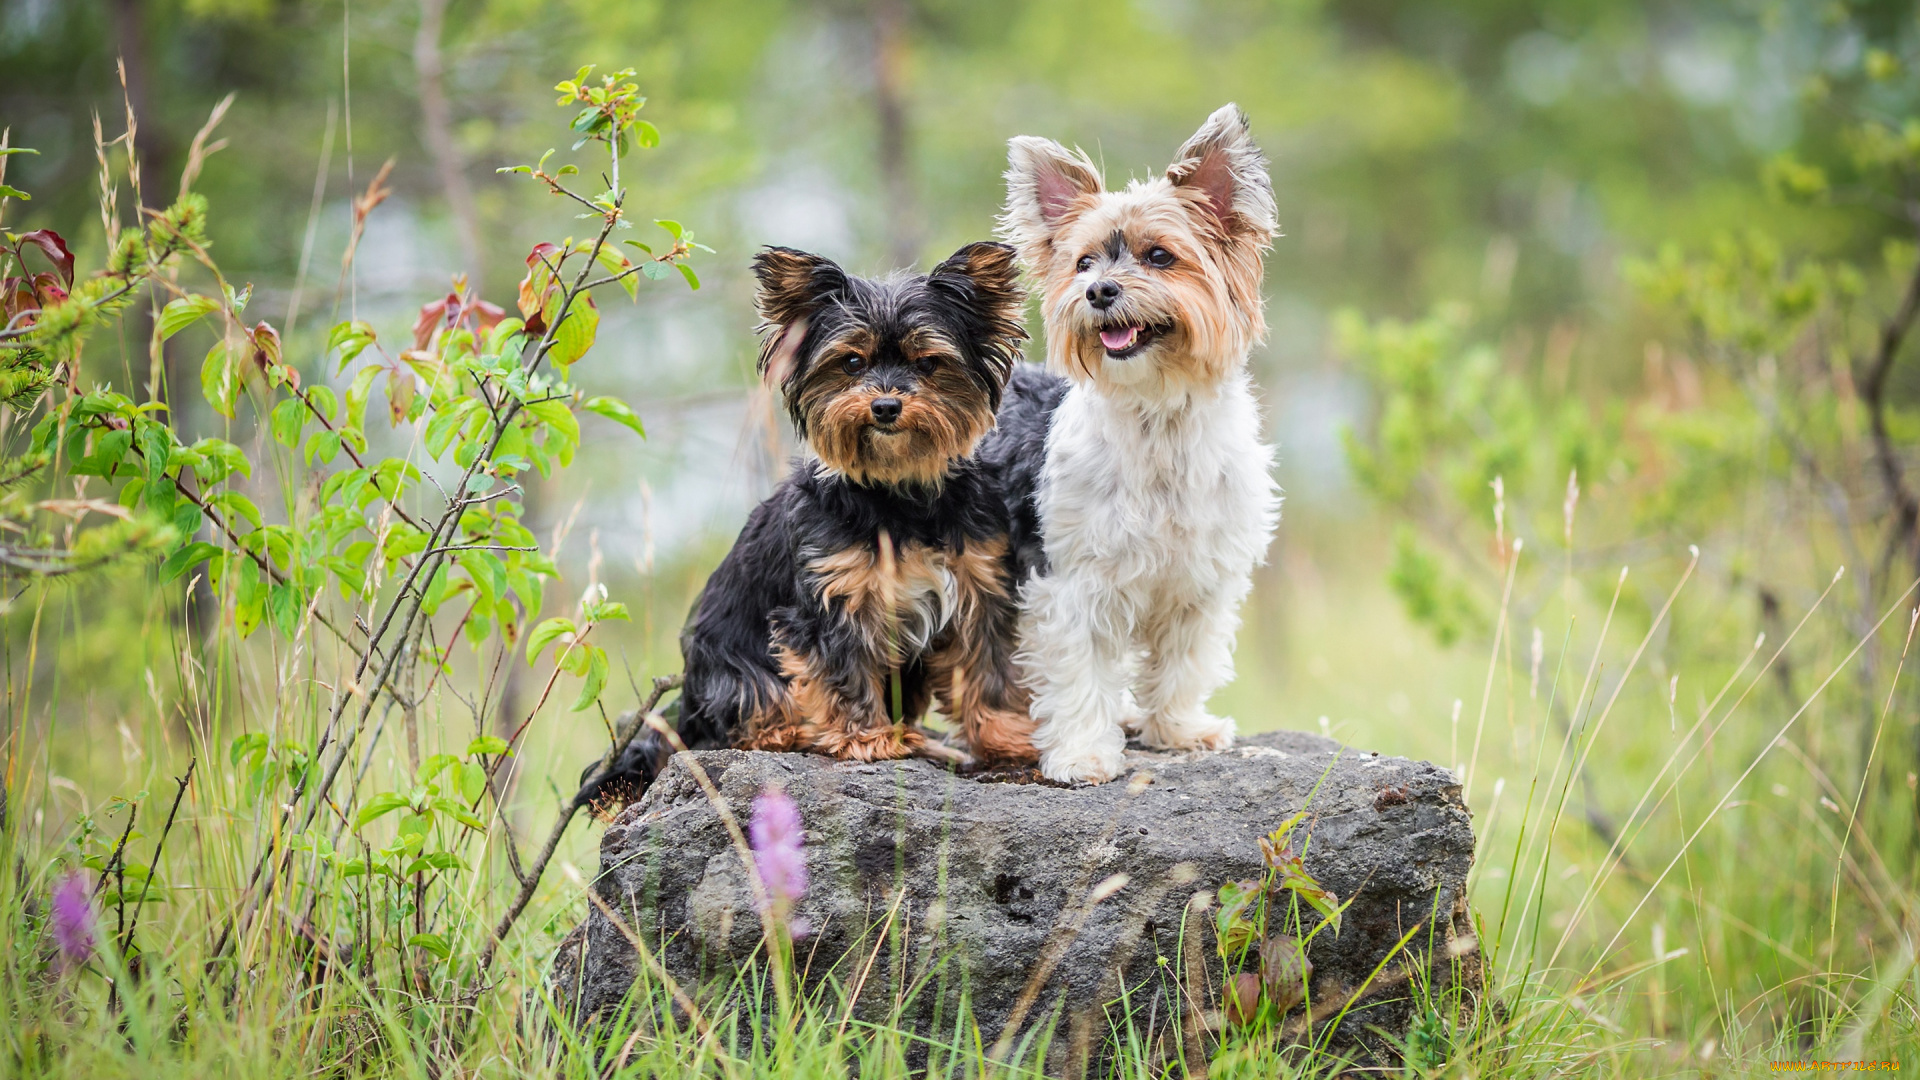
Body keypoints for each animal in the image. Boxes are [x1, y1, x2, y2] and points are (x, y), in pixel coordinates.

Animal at [583, 242, 1036, 799]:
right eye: (851, 362)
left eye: (928, 363)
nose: (885, 405)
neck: (898, 496)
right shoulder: (832, 601)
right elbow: (841, 669)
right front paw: (866, 739)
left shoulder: (977, 584)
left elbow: (986, 666)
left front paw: (1005, 737)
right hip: (732, 671)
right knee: (747, 718)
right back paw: (800, 731)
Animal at [983, 105, 1282, 776]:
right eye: (1083, 263)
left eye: (1160, 256)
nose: (1099, 291)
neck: (1158, 413)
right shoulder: (1072, 582)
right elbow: (1078, 670)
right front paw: (1082, 755)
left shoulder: (1200, 583)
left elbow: (1182, 663)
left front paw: (1177, 729)